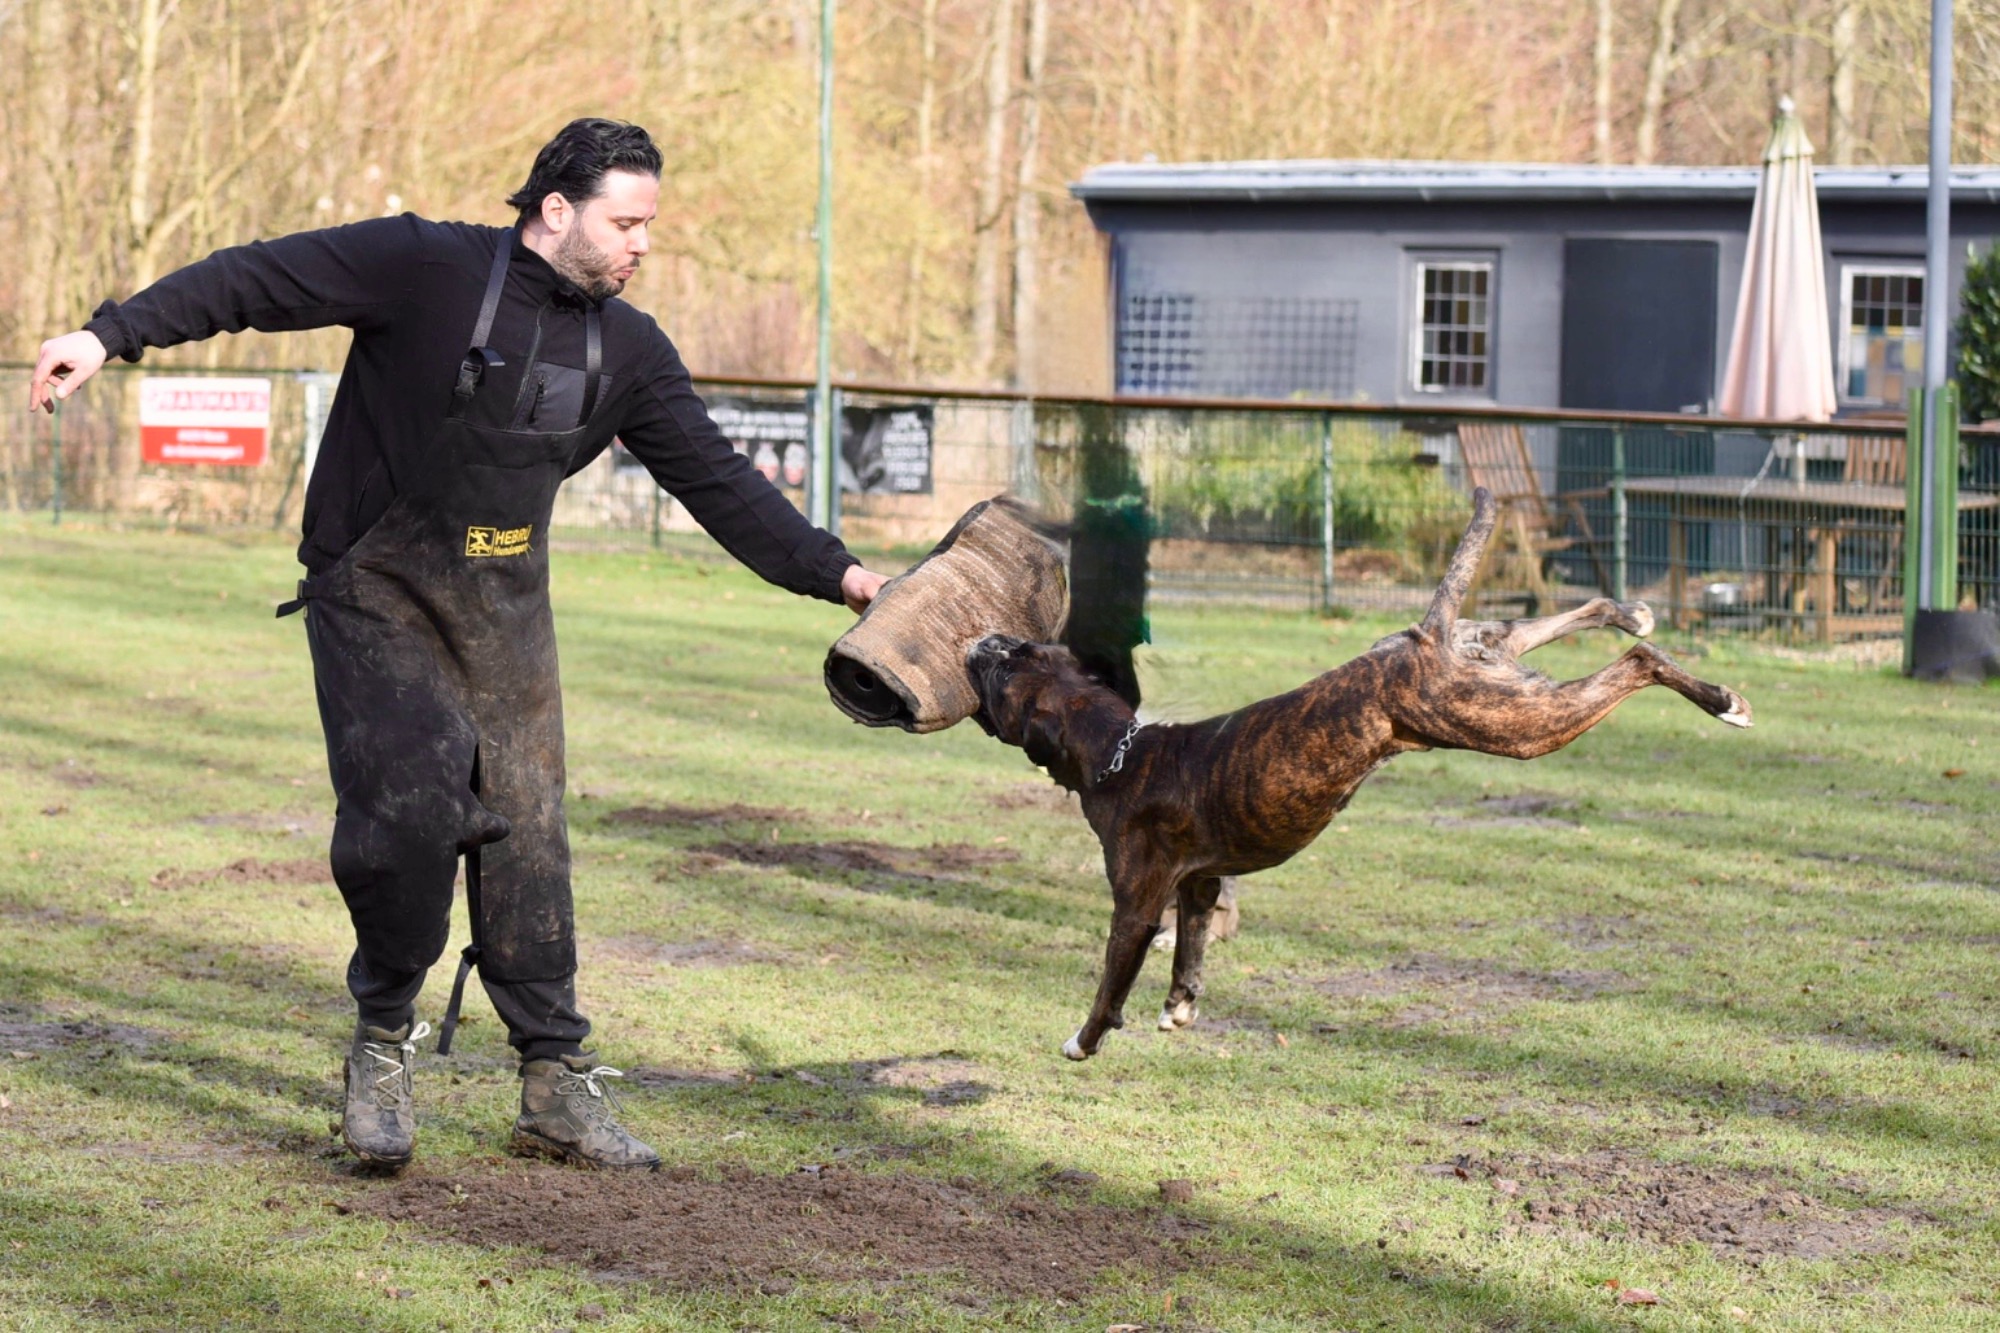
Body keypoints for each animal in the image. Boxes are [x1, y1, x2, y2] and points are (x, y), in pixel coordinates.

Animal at [967, 488, 1751, 1061]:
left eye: (1004, 673)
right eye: (1021, 652)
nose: (985, 640)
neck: (1119, 748)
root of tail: (1424, 639)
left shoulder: (1135, 907)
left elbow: (1111, 981)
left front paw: (1084, 1040)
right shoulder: (1200, 883)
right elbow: (1190, 951)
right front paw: (1180, 1007)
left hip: (1514, 724)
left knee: (1637, 666)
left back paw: (1722, 701)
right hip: (1496, 670)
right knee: (1570, 621)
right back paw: (1634, 612)